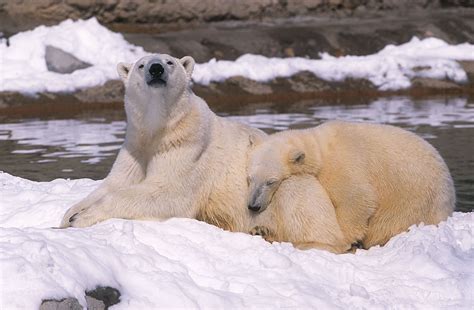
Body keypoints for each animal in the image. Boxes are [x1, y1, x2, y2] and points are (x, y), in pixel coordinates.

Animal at [59, 54, 264, 231]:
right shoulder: (135, 147)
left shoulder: (186, 147)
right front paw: (69, 214)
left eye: (170, 62)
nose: (156, 69)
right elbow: (115, 182)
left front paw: (80, 217)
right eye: (141, 65)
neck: (157, 129)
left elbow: (167, 193)